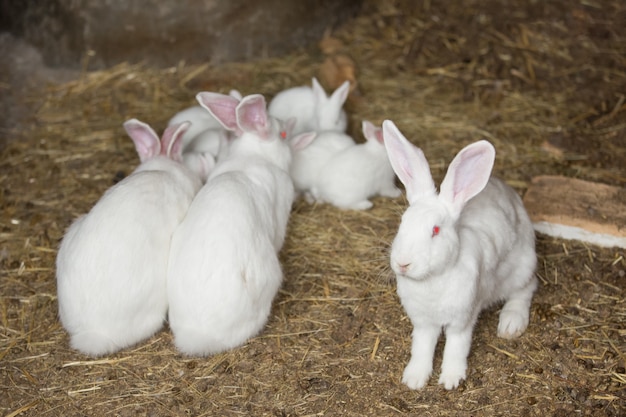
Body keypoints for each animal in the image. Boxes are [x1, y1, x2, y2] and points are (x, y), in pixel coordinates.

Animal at [380, 118, 536, 388]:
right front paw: (414, 378)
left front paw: (451, 379)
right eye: (402, 222)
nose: (403, 263)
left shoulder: (463, 319)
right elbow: (421, 347)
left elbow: (456, 346)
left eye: (435, 230)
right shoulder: (423, 322)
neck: (433, 279)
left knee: (526, 290)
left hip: (522, 267)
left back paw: (510, 324)